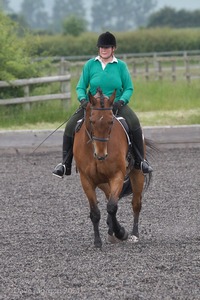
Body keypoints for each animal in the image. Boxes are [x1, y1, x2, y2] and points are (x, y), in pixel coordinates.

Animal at [73, 87, 153, 248]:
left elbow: (112, 207)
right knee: (110, 199)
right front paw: (97, 241)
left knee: (136, 204)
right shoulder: (86, 180)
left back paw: (133, 235)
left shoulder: (117, 176)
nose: (101, 154)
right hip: (103, 183)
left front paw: (121, 232)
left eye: (111, 122)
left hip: (137, 174)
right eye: (92, 121)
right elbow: (96, 212)